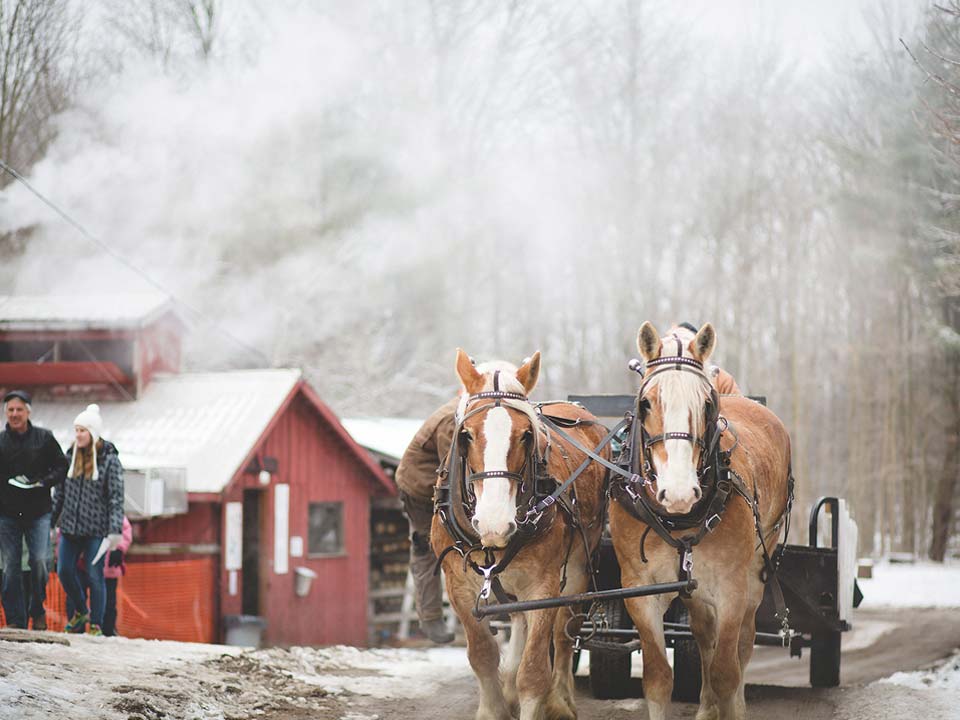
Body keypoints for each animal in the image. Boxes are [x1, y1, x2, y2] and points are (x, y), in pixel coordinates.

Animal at [434, 350, 608, 720]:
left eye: (527, 435)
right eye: (466, 435)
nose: (495, 522)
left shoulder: (543, 585)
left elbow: (534, 671)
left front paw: (534, 695)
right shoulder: (458, 586)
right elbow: (482, 655)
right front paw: (495, 707)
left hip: (578, 567)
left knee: (564, 631)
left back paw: (561, 701)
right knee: (518, 620)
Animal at [612, 324, 792, 720]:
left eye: (706, 404)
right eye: (646, 403)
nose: (679, 492)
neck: (680, 519)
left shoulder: (731, 588)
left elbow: (726, 671)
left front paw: (731, 704)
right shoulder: (639, 590)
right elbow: (658, 678)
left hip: (757, 567)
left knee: (743, 644)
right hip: (693, 586)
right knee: (704, 634)